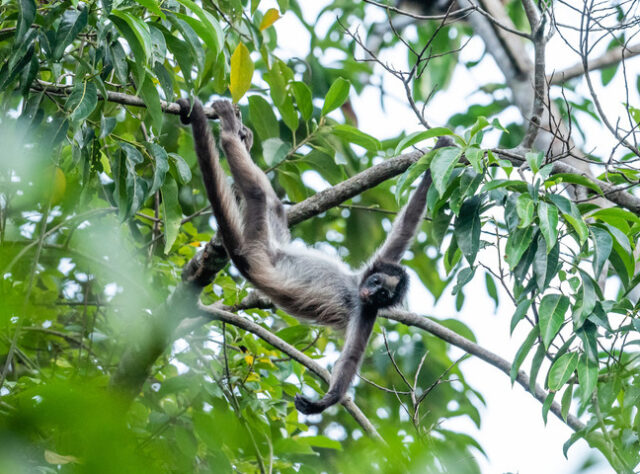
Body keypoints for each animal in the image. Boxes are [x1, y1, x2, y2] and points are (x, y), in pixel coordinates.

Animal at [178, 97, 452, 414]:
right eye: (376, 283)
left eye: (384, 295)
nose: (372, 293)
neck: (355, 289)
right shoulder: (380, 264)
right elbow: (406, 226)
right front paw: (440, 150)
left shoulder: (366, 313)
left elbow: (350, 359)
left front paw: (325, 401)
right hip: (272, 240)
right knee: (270, 199)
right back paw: (237, 133)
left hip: (258, 244)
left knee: (258, 193)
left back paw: (230, 135)